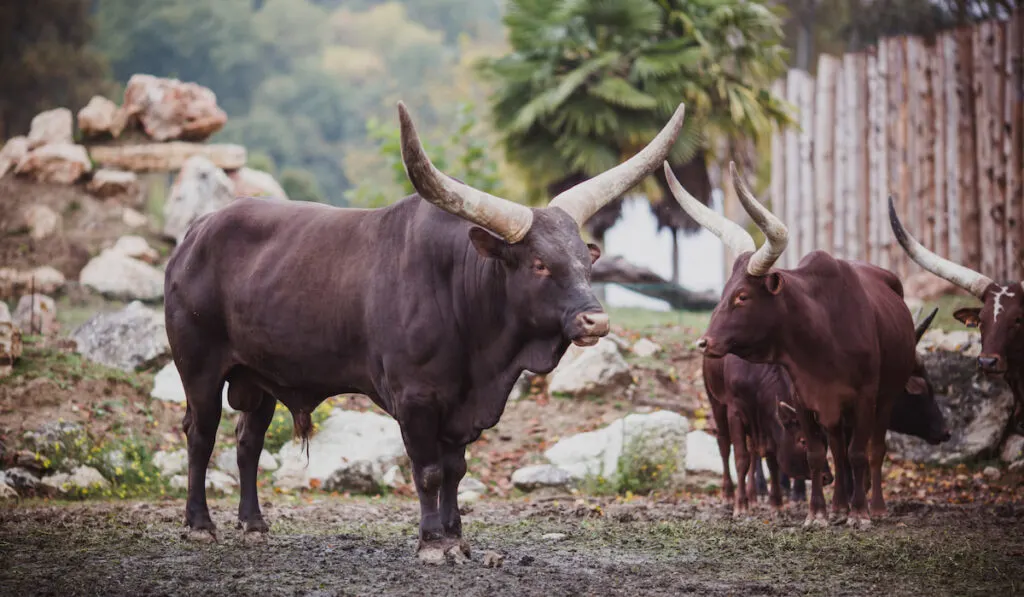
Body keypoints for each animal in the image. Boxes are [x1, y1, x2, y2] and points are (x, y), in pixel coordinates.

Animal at [165, 101, 688, 561]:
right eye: (540, 263)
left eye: (586, 259)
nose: (595, 320)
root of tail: (196, 233)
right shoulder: (415, 399)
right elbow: (430, 471)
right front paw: (433, 543)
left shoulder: (461, 406)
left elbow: (456, 469)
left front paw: (457, 538)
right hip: (199, 367)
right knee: (201, 434)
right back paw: (200, 525)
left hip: (259, 377)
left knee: (247, 440)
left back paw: (253, 524)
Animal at [663, 159, 921, 528]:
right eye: (724, 292)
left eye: (742, 296)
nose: (705, 342)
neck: (822, 338)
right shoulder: (802, 398)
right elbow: (815, 453)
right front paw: (817, 514)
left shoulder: (865, 396)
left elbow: (858, 453)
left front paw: (859, 513)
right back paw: (836, 506)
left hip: (886, 395)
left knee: (872, 451)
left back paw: (874, 506)